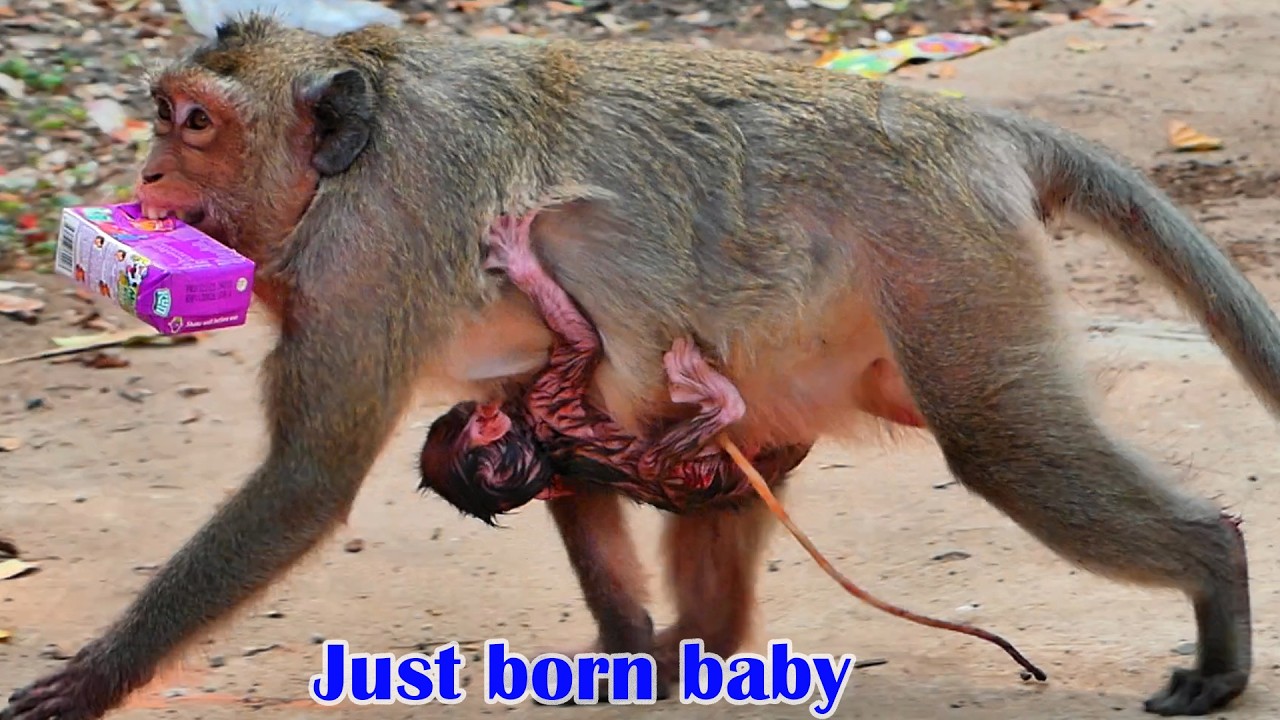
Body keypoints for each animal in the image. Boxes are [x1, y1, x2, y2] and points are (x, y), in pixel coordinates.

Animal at [418, 210, 822, 524]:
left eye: (457, 417)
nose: (476, 407)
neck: (536, 443)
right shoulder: (547, 395)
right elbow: (584, 340)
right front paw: (520, 261)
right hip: (715, 465)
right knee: (660, 459)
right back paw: (707, 388)